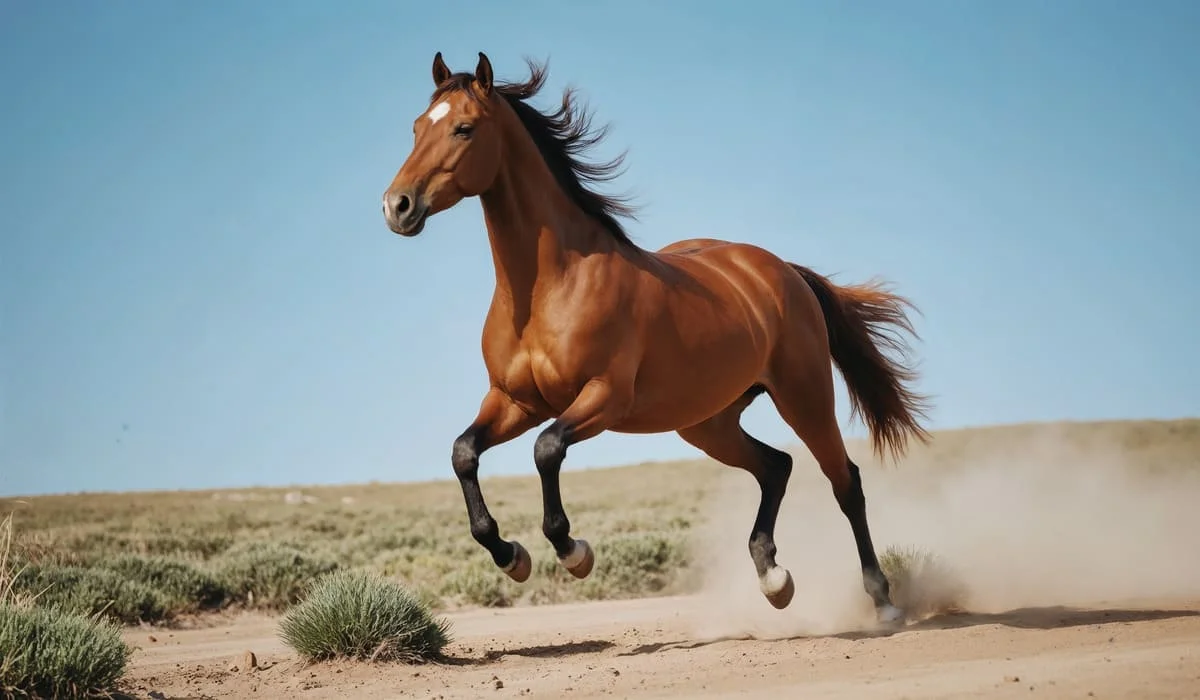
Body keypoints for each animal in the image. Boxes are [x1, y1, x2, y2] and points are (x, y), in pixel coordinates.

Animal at [381, 52, 931, 624]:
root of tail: (782, 270)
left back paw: (882, 600)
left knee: (845, 482)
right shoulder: (515, 401)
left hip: (804, 397)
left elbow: (546, 450)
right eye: (417, 128)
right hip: (708, 422)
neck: (551, 286)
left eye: (464, 128)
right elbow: (464, 453)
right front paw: (511, 556)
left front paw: (573, 552)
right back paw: (774, 579)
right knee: (776, 467)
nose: (397, 206)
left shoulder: (603, 398)